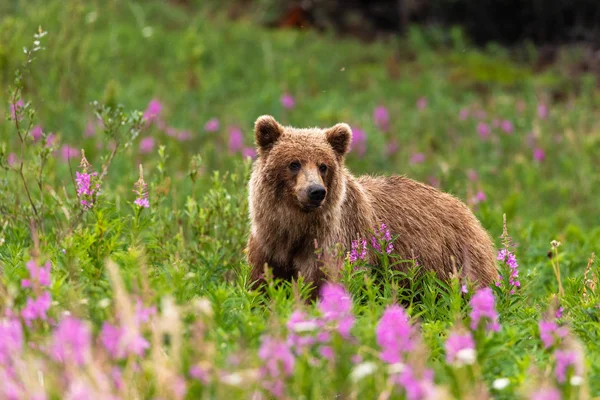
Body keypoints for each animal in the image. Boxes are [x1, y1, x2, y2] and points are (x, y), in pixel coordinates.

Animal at [246, 114, 494, 292]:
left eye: (323, 165)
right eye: (294, 163)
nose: (316, 191)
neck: (295, 227)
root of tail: (466, 209)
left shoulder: (333, 244)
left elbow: (321, 285)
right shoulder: (268, 245)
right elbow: (261, 286)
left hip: (455, 259)